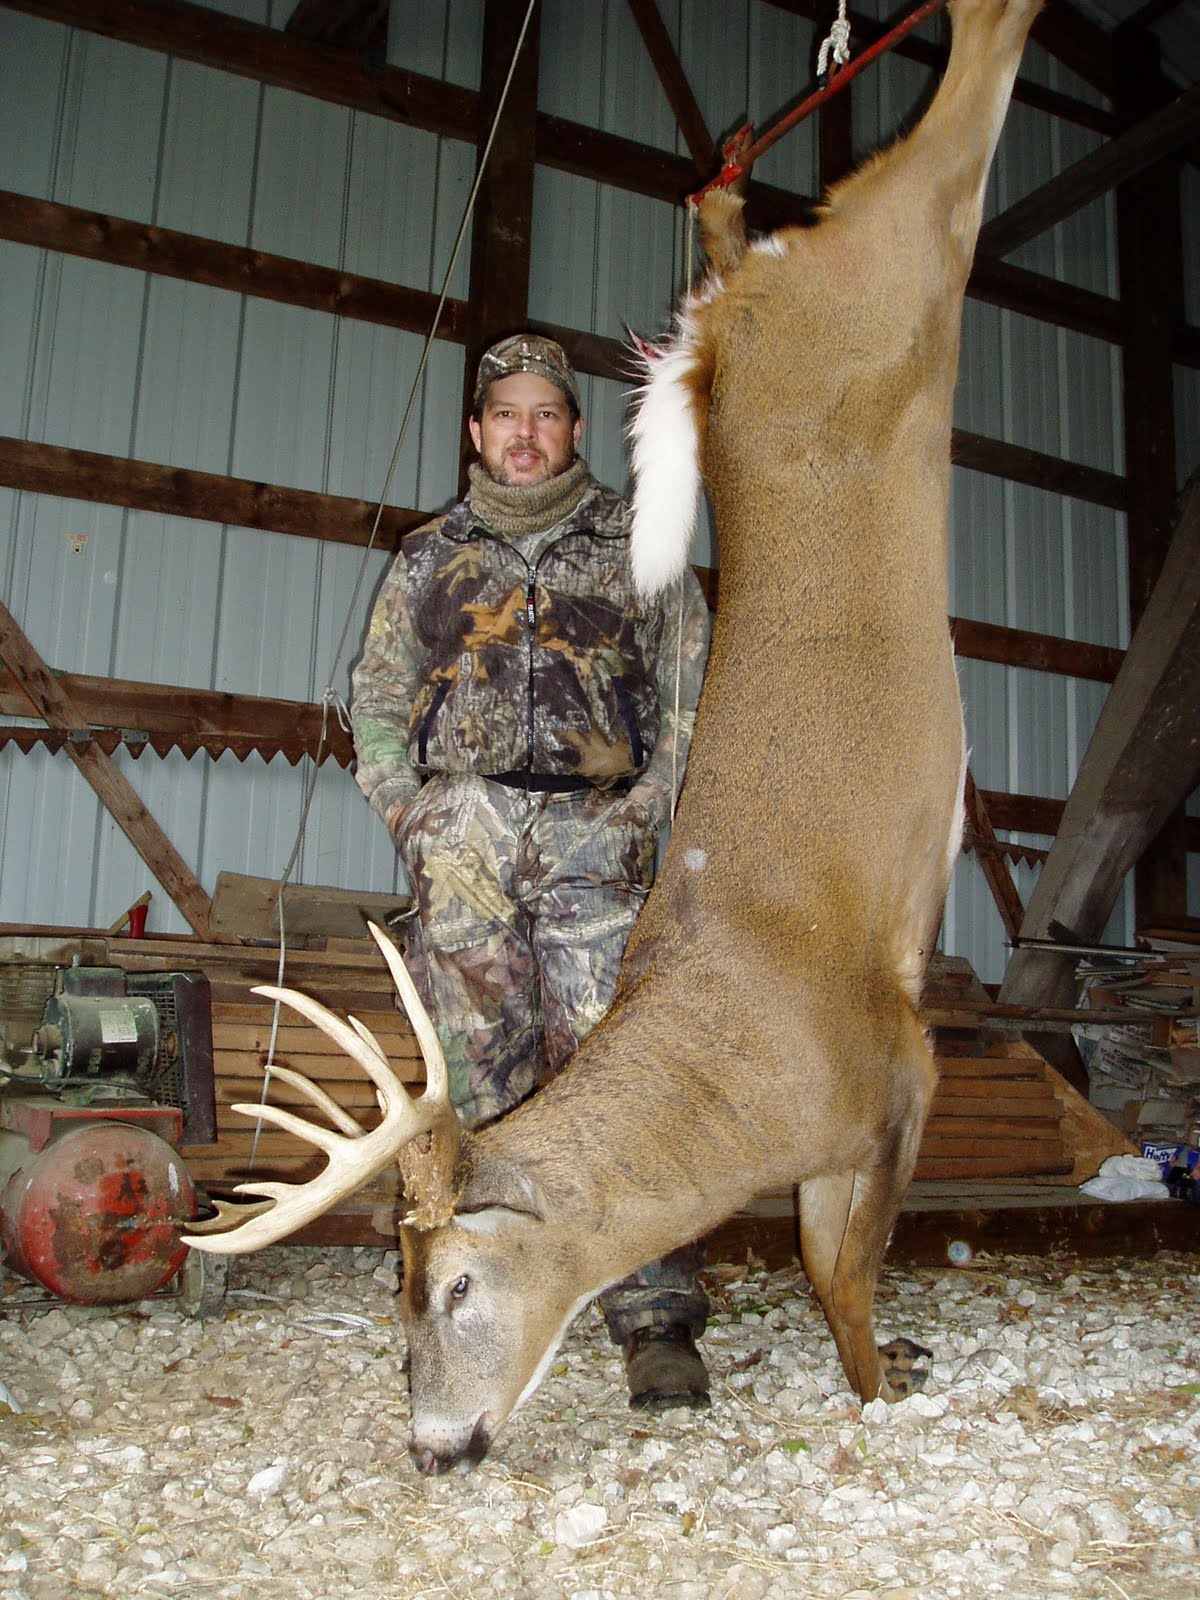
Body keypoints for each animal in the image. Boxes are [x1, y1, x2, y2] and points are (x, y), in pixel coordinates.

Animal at [183, 0, 1041, 1476]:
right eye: (394, 1297)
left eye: (459, 1284)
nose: (436, 1446)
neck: (743, 1078)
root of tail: (723, 333)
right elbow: (831, 1265)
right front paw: (899, 1363)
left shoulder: (902, 1065)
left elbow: (846, 1280)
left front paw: (886, 1382)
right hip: (857, 268)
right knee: (762, 210)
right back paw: (722, 188)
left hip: (900, 266)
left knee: (958, 110)